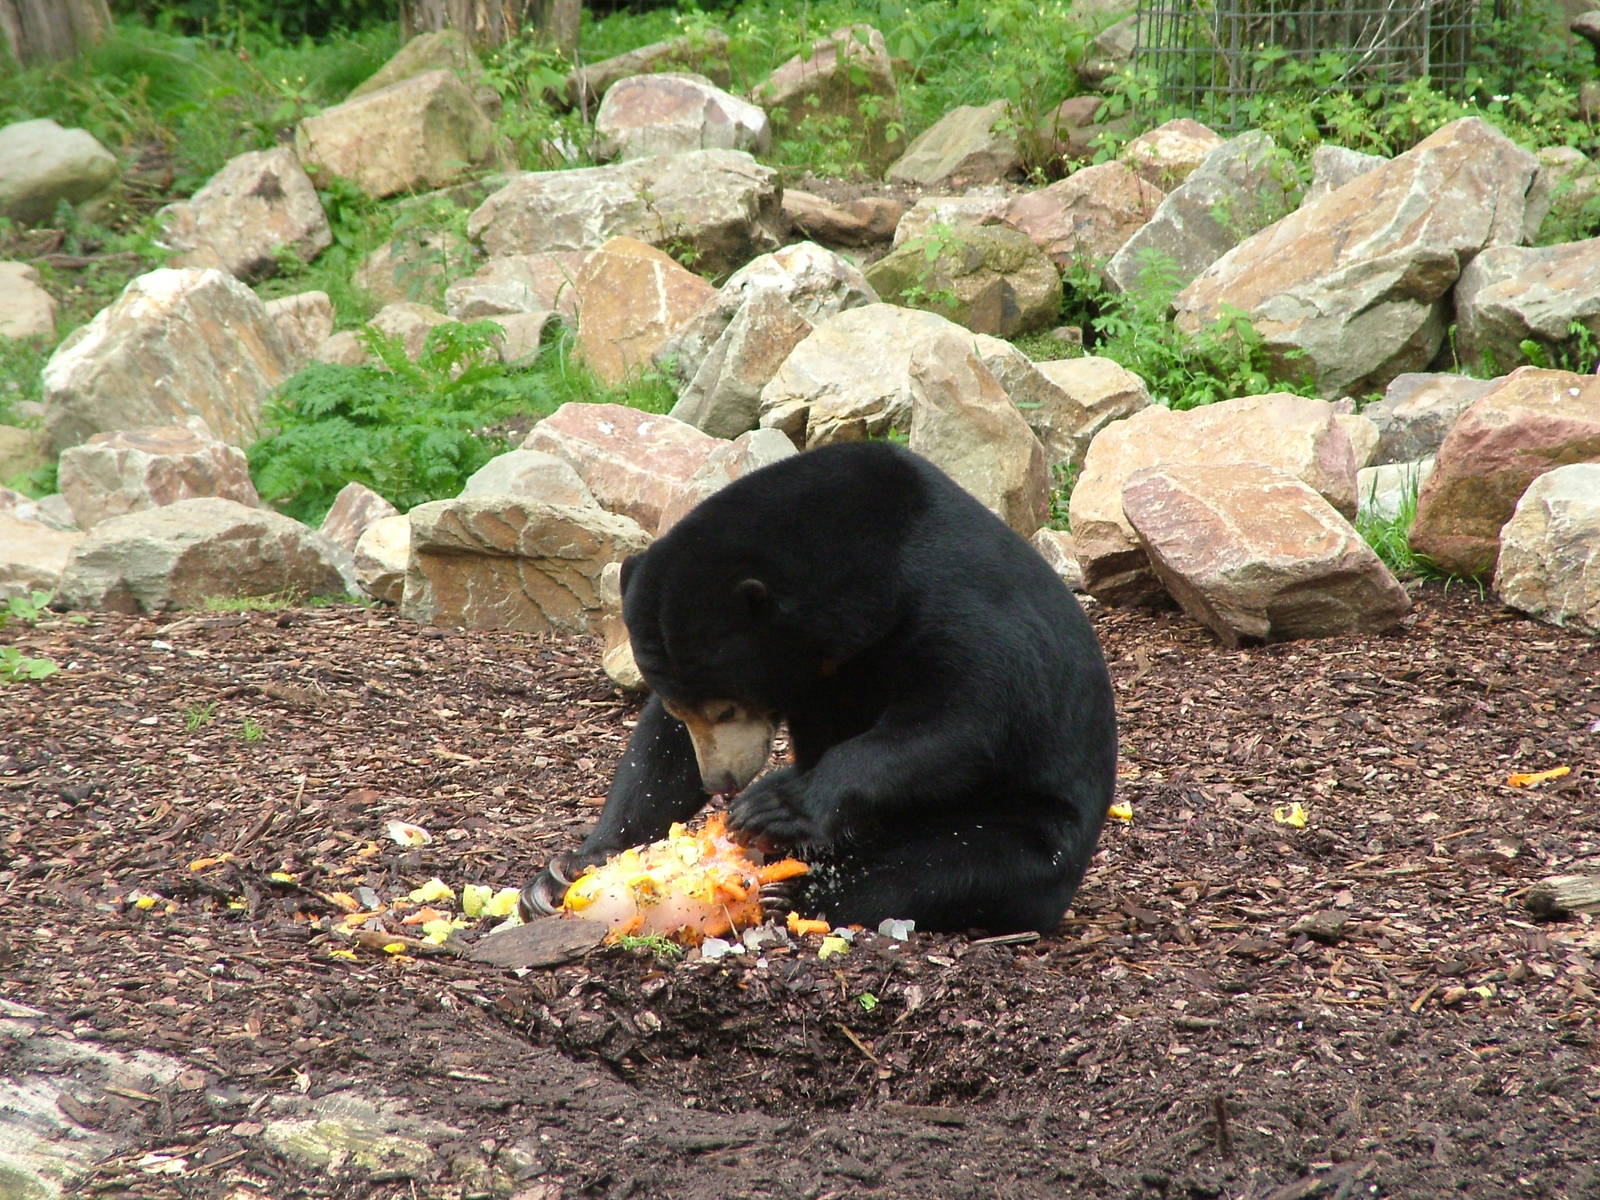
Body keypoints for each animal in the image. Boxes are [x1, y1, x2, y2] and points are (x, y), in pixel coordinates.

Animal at [520, 440, 1118, 934]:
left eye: (727, 707)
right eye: (688, 707)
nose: (723, 781)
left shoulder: (959, 603)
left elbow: (959, 719)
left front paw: (774, 803)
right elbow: (661, 753)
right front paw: (571, 868)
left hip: (1035, 826)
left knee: (951, 868)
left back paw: (794, 893)